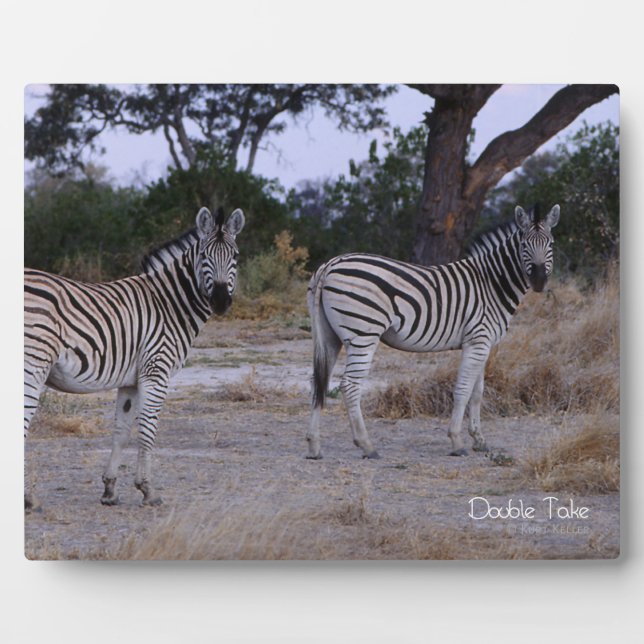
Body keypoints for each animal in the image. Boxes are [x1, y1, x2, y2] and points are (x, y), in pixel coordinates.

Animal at [24, 206, 245, 506]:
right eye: (203, 256)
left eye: (235, 256)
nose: (221, 301)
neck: (170, 304)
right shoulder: (156, 370)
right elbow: (148, 430)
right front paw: (148, 490)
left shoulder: (129, 380)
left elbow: (121, 431)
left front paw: (109, 489)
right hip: (32, 364)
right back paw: (28, 499)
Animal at [306, 204, 560, 460]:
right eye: (524, 245)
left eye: (551, 244)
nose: (539, 280)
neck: (491, 284)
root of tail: (330, 265)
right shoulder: (477, 341)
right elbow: (463, 390)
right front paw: (457, 441)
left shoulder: (483, 343)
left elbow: (477, 392)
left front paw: (479, 440)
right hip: (363, 334)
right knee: (349, 385)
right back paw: (366, 445)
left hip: (329, 336)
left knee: (319, 381)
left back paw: (314, 446)